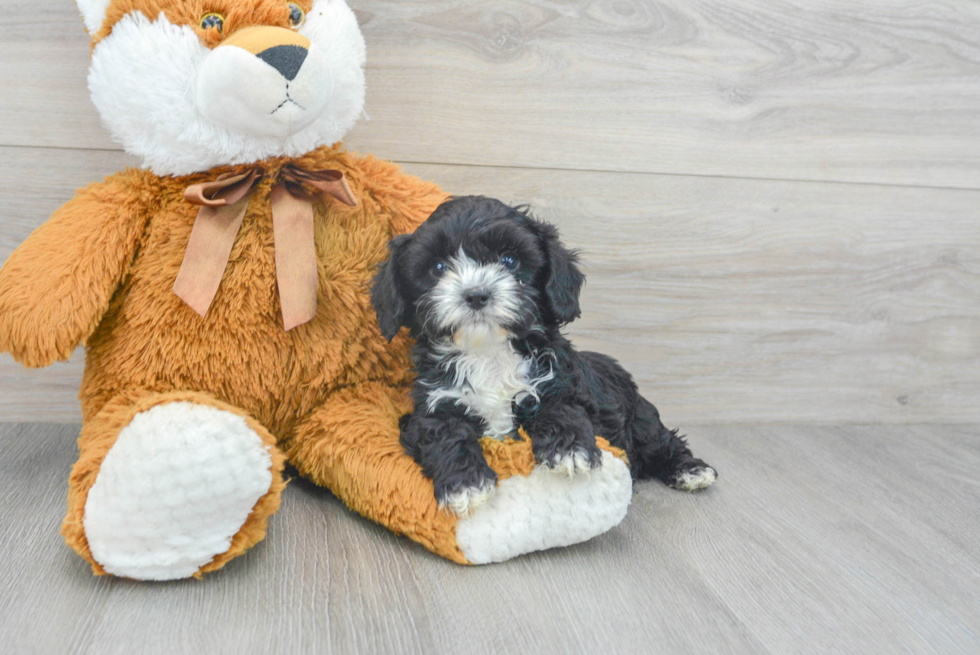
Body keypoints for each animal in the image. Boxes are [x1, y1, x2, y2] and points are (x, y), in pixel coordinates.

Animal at [372, 197, 716, 516]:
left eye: (509, 260)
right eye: (439, 268)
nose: (476, 294)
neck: (489, 353)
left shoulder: (563, 386)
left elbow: (561, 409)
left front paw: (570, 450)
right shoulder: (432, 407)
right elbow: (444, 433)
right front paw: (466, 483)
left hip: (641, 418)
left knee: (662, 441)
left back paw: (691, 470)